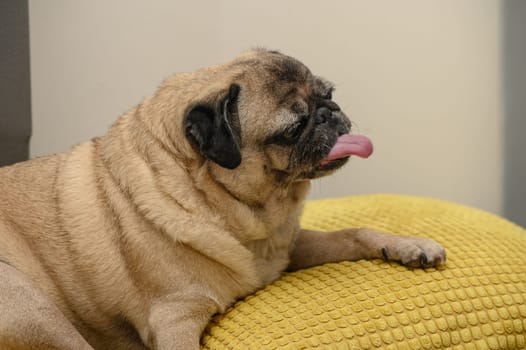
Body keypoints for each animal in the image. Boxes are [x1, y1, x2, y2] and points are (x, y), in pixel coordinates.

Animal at [0, 50, 446, 350]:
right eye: (292, 128)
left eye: (329, 93)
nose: (329, 113)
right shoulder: (174, 319)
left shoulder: (287, 247)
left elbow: (355, 232)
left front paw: (410, 246)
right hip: (31, 304)